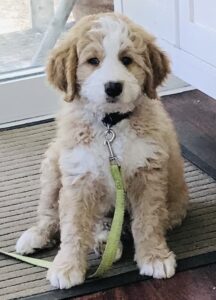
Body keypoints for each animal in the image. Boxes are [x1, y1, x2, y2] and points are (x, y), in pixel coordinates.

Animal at [15, 13, 187, 288]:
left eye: (127, 60)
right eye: (93, 61)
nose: (113, 87)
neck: (110, 125)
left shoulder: (148, 172)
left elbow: (148, 220)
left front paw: (154, 257)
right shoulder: (78, 174)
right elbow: (73, 225)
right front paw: (66, 267)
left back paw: (106, 241)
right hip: (53, 162)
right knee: (50, 211)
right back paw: (39, 236)